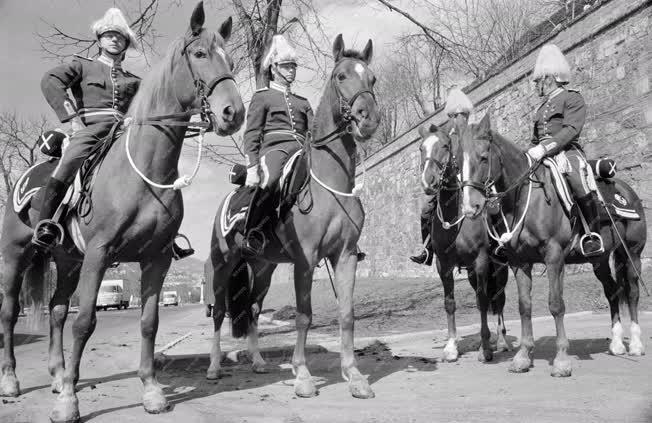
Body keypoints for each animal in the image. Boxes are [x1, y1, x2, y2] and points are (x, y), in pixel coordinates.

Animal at [0, 2, 244, 420]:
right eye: (199, 54)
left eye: (229, 59)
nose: (234, 112)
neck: (143, 173)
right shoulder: (100, 254)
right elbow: (85, 323)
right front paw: (69, 402)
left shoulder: (156, 258)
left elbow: (149, 322)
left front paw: (151, 391)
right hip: (16, 257)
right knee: (11, 312)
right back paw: (13, 381)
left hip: (68, 261)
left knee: (57, 309)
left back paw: (57, 375)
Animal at [206, 34, 380, 400]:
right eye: (341, 76)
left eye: (372, 79)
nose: (368, 118)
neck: (331, 183)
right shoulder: (306, 260)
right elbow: (303, 316)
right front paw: (302, 375)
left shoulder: (345, 257)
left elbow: (347, 315)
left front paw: (354, 375)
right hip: (222, 266)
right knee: (219, 313)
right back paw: (214, 367)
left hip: (263, 269)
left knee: (253, 310)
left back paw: (258, 361)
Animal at [418, 119, 516, 364]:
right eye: (421, 148)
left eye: (445, 145)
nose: (428, 181)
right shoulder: (443, 265)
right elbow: (450, 302)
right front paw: (452, 346)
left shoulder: (480, 261)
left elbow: (482, 301)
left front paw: (485, 348)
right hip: (472, 273)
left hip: (498, 268)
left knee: (498, 299)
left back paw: (501, 340)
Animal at [460, 112, 644, 378]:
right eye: (459, 161)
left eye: (483, 157)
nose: (469, 207)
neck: (526, 197)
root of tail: (626, 191)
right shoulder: (519, 262)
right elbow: (524, 306)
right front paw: (523, 356)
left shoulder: (554, 255)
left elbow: (556, 305)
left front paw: (562, 360)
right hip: (599, 260)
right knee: (612, 291)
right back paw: (617, 342)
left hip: (632, 254)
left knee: (632, 292)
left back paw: (636, 344)